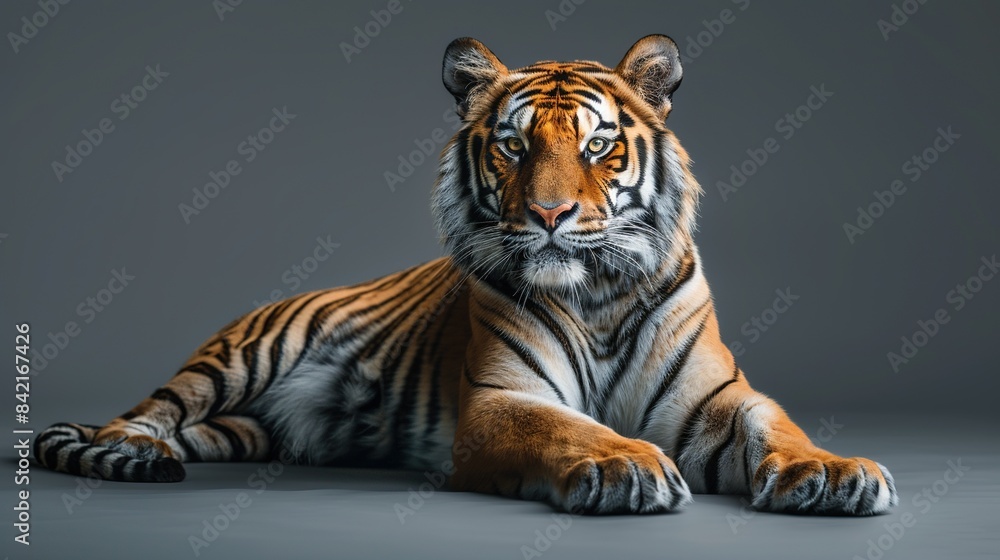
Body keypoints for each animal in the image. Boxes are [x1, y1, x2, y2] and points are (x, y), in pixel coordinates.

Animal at [36, 35, 898, 515]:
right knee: (143, 414)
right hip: (239, 358)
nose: (550, 214)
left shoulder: (717, 400)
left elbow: (776, 426)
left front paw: (837, 474)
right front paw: (623, 462)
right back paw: (134, 455)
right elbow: (566, 427)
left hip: (245, 427)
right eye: (514, 146)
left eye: (597, 147)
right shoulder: (500, 400)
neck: (599, 296)